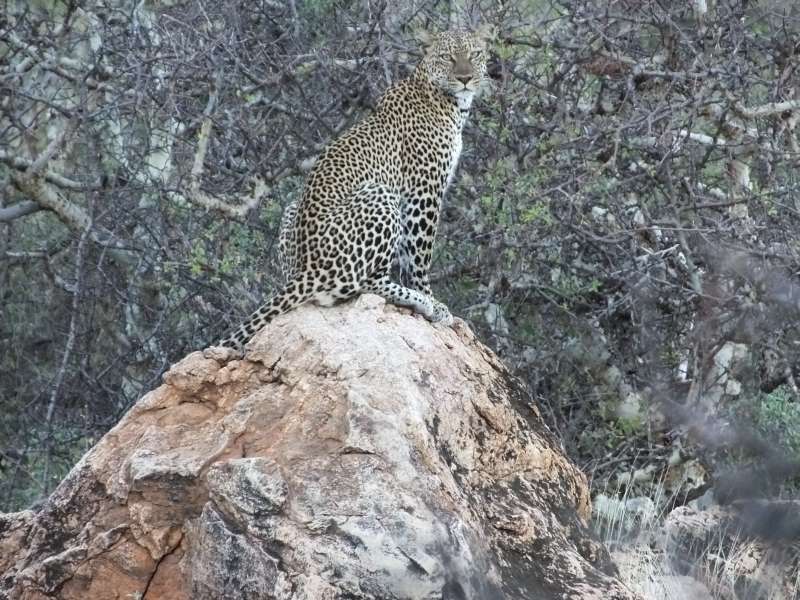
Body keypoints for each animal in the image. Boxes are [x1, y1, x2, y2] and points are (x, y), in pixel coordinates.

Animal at [217, 28, 491, 349]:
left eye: (474, 54)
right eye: (448, 57)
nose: (465, 78)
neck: (450, 103)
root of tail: (306, 268)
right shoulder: (423, 192)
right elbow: (419, 257)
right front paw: (433, 302)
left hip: (293, 209)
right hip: (381, 195)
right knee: (365, 283)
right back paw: (420, 302)